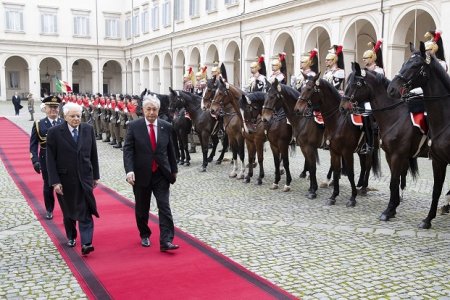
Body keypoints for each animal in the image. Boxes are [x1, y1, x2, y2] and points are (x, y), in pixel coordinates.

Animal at [296, 74, 380, 207]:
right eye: (302, 88)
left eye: (309, 89)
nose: (297, 109)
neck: (337, 121)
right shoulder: (334, 151)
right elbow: (335, 171)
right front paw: (333, 196)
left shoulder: (346, 152)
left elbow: (350, 173)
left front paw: (352, 198)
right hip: (360, 150)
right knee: (363, 165)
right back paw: (360, 185)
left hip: (370, 149)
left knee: (367, 165)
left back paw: (363, 188)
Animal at [386, 42, 450, 229]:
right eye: (404, 63)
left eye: (415, 66)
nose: (391, 89)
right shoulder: (438, 160)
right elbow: (436, 190)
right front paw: (428, 219)